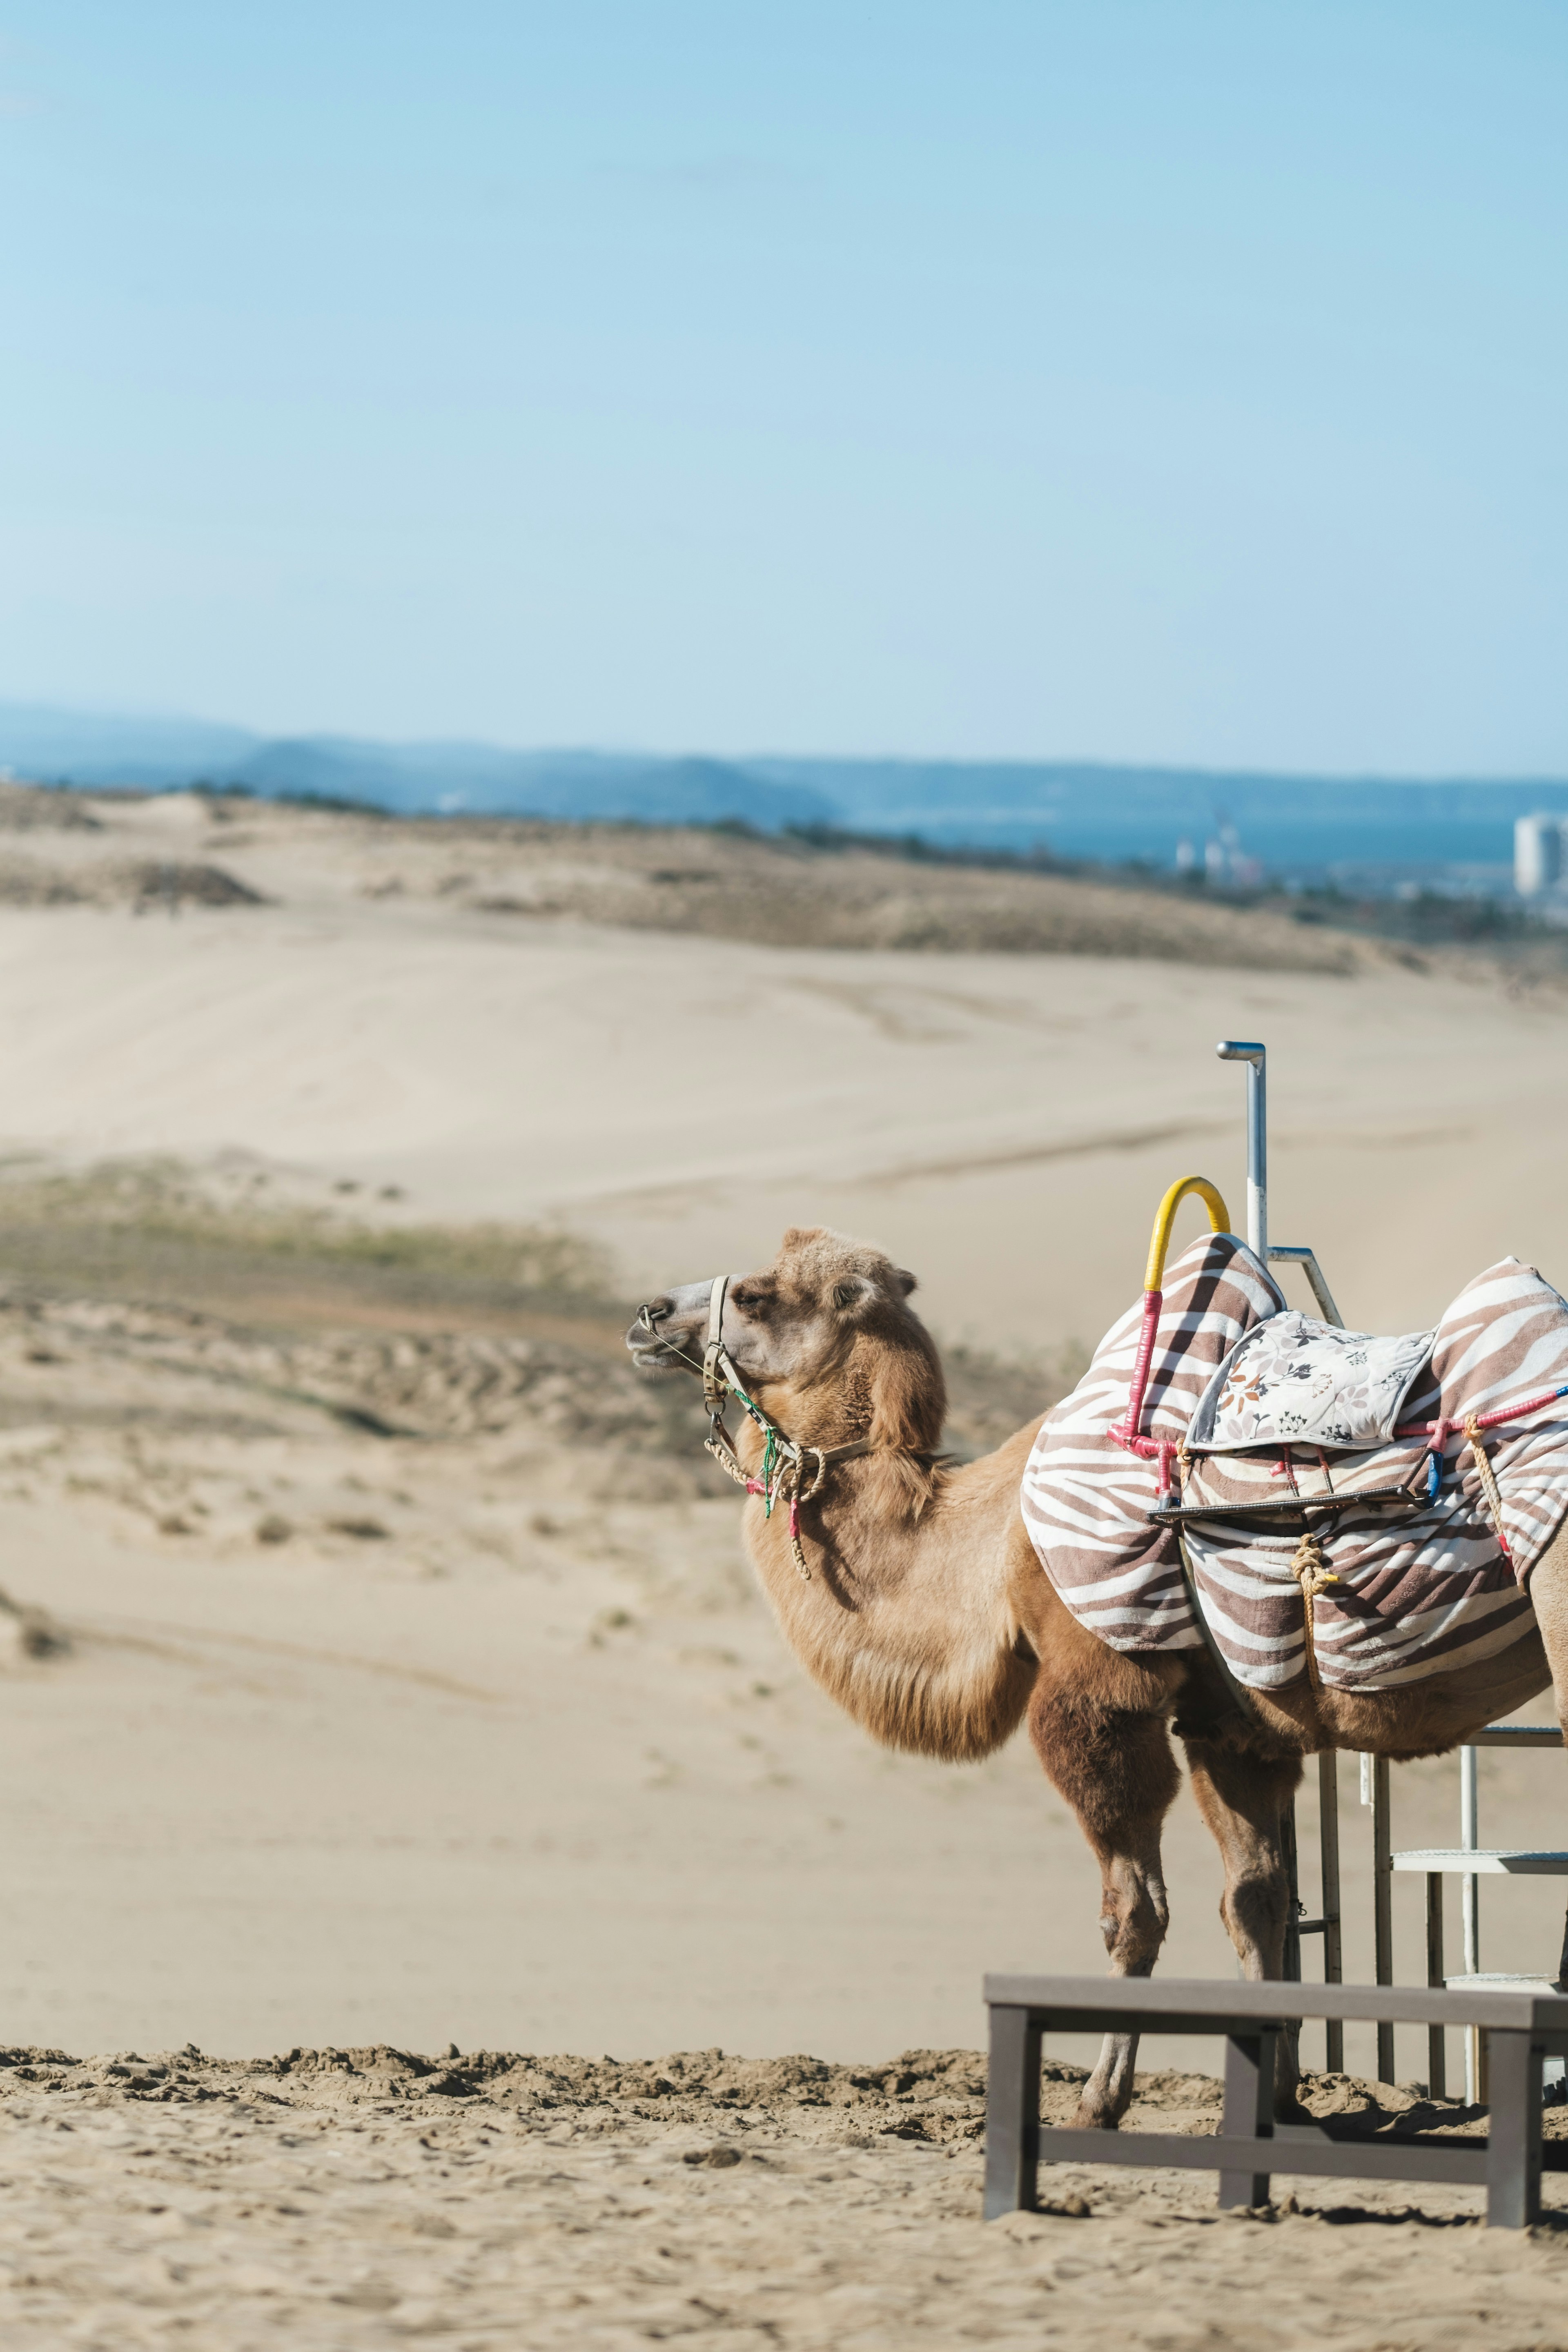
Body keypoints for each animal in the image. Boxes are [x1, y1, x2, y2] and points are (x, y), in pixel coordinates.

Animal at [625, 1232, 1568, 2136]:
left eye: (757, 1296)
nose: (648, 1313)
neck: (990, 1549)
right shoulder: (1231, 1722)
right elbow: (1257, 1898)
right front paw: (1276, 2101)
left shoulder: (1099, 1688)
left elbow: (1134, 1910)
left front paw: (1098, 2103)